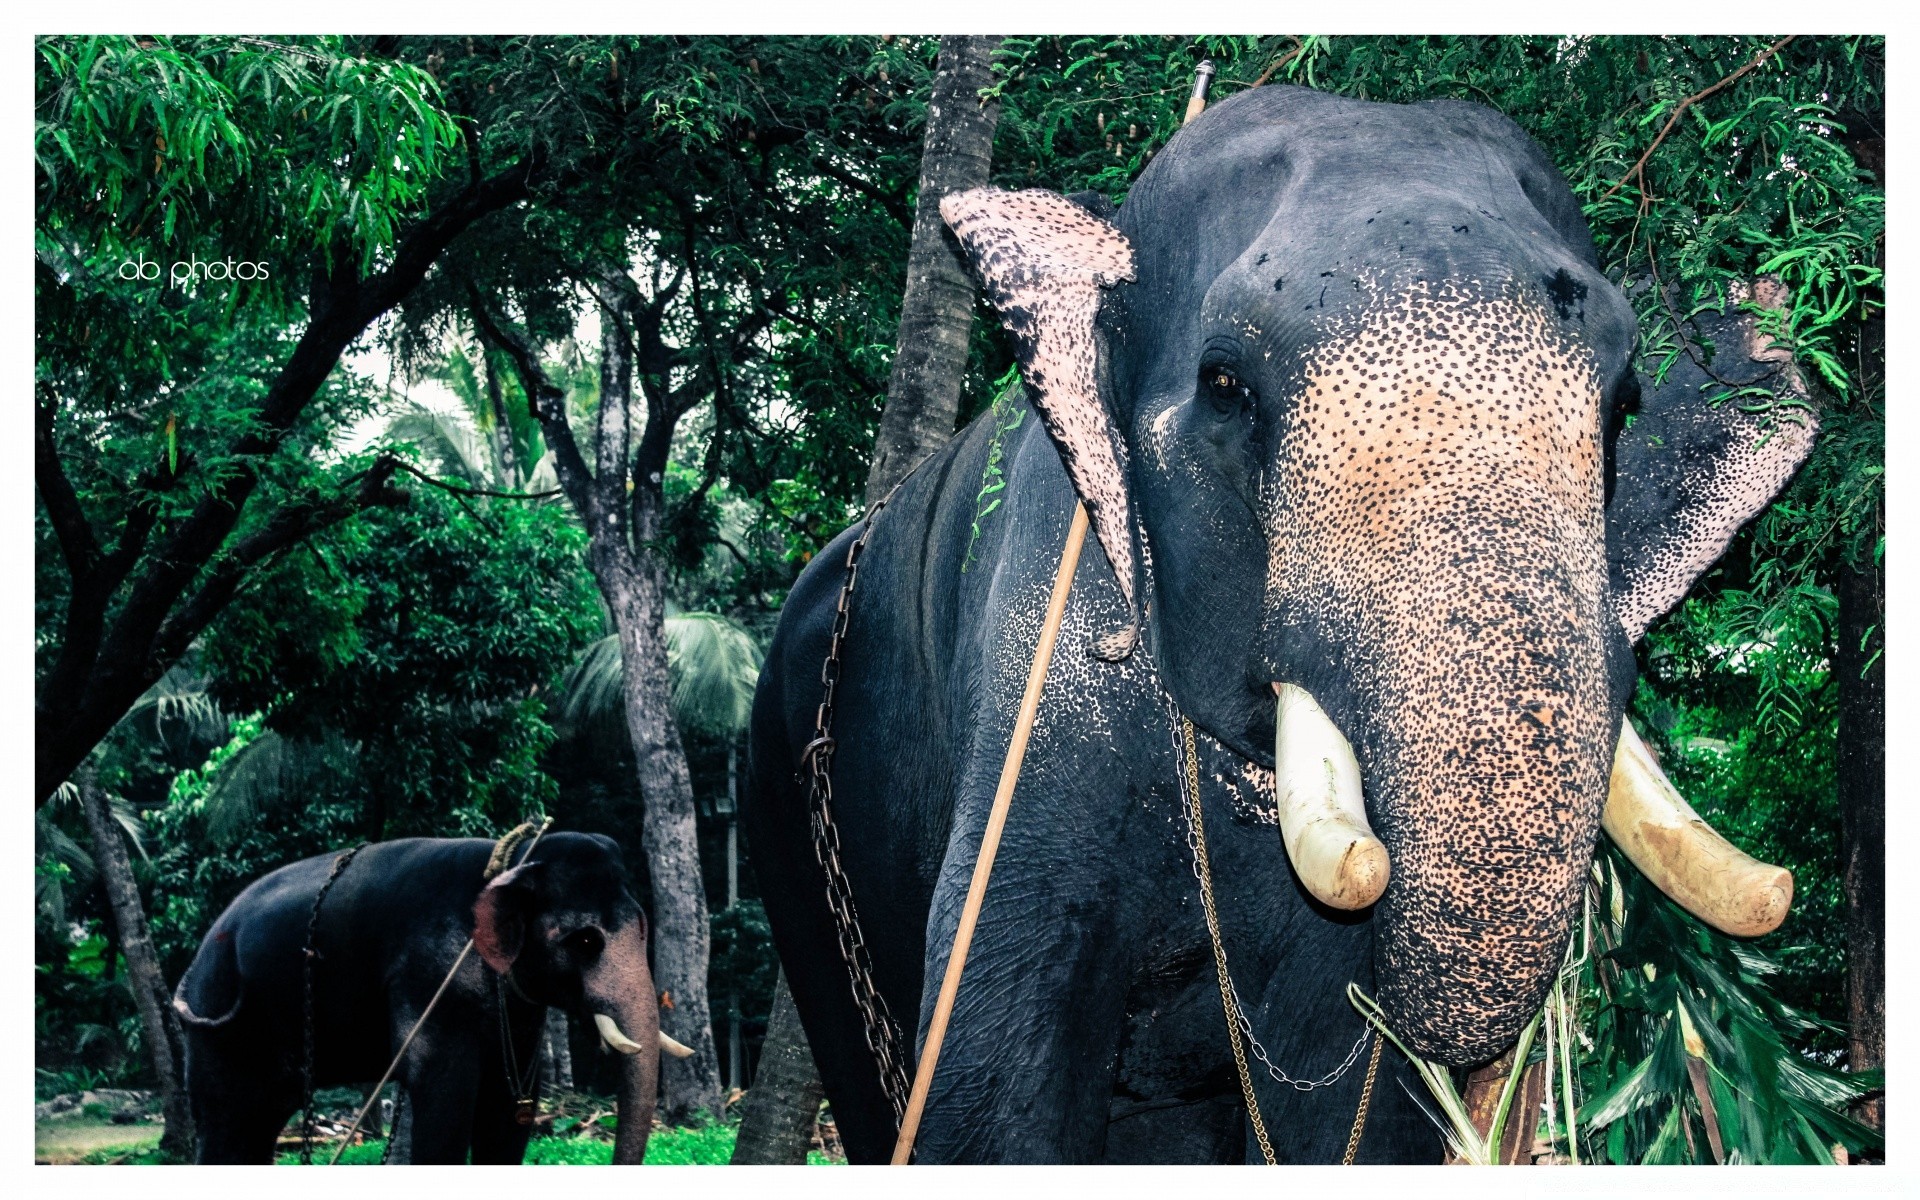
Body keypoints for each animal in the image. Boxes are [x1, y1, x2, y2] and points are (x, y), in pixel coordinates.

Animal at [174, 833, 668, 1159]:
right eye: (585, 941)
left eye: (645, 928)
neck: (512, 861)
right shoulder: (427, 979)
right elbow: (446, 1097)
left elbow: (509, 1110)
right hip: (219, 1028)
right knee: (227, 1122)